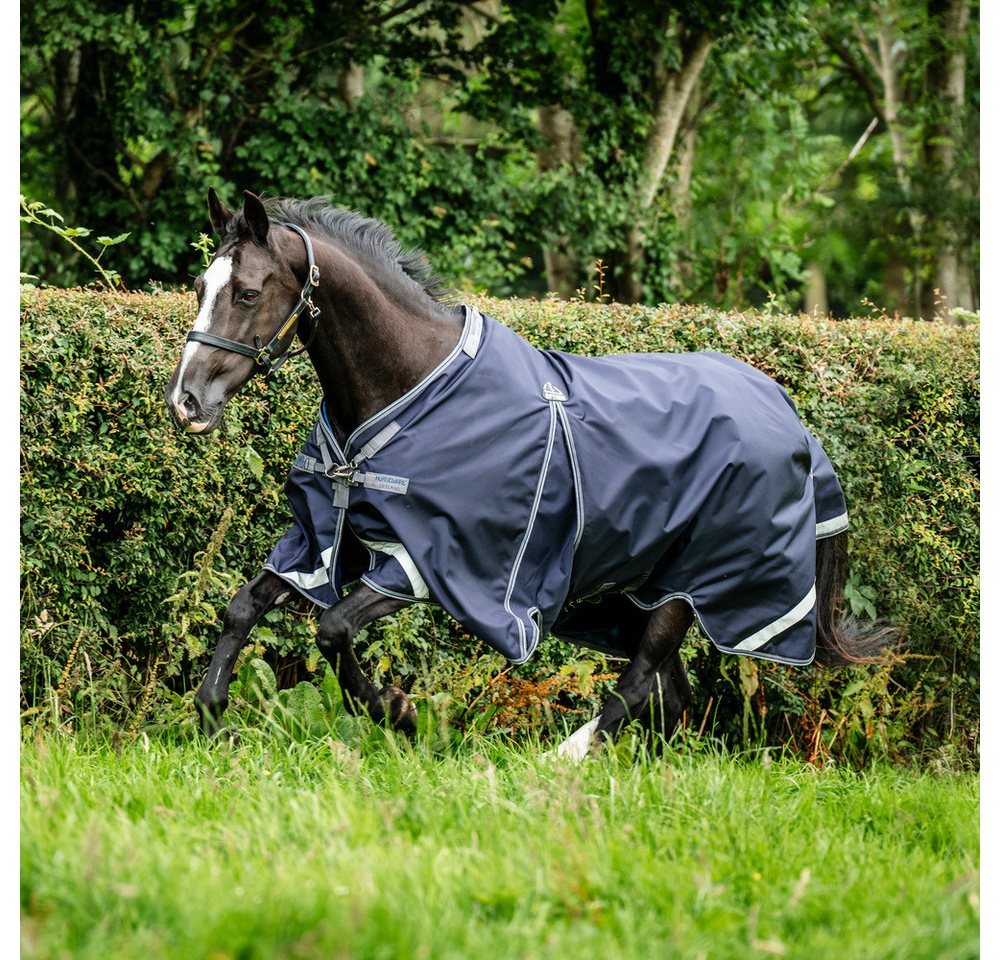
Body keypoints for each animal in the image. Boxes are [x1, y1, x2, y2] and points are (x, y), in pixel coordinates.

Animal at [166, 189, 889, 757]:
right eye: (200, 289)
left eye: (248, 293)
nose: (186, 401)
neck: (408, 383)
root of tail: (788, 416)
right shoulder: (324, 540)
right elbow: (243, 606)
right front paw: (214, 716)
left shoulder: (427, 562)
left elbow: (334, 629)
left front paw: (399, 712)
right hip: (642, 589)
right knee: (668, 693)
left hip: (694, 583)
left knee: (640, 684)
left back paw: (564, 757)